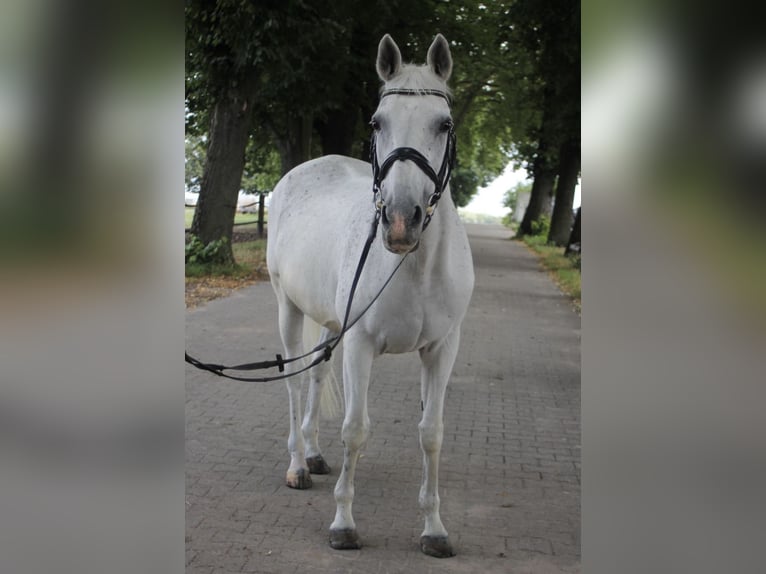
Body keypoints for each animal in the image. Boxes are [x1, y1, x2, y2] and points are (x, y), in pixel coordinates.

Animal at [268, 33, 474, 560]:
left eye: (444, 124)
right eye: (377, 122)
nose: (401, 221)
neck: (413, 266)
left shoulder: (442, 349)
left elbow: (431, 435)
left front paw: (434, 529)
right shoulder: (360, 344)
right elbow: (355, 429)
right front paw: (343, 524)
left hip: (329, 322)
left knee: (317, 374)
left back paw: (315, 455)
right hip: (288, 307)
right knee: (295, 383)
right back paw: (297, 466)